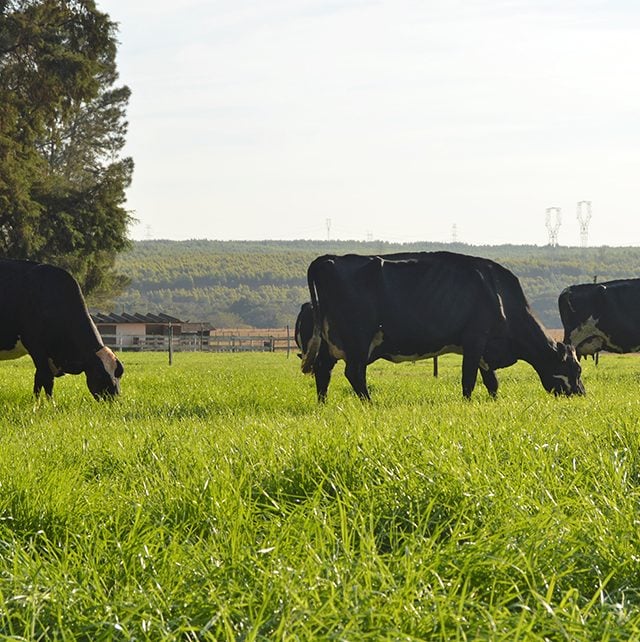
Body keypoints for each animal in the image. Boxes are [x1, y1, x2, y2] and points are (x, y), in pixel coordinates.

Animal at [0, 258, 124, 398]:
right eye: (99, 375)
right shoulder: (36, 348)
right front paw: (46, 403)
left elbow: (39, 380)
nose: (114, 398)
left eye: (120, 374)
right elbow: (46, 379)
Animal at [300, 251, 584, 398]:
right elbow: (469, 379)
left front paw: (494, 402)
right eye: (575, 369)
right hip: (358, 339)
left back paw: (323, 405)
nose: (582, 393)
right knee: (354, 373)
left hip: (330, 341)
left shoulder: (485, 349)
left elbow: (491, 382)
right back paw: (370, 404)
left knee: (323, 371)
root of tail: (329, 259)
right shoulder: (475, 339)